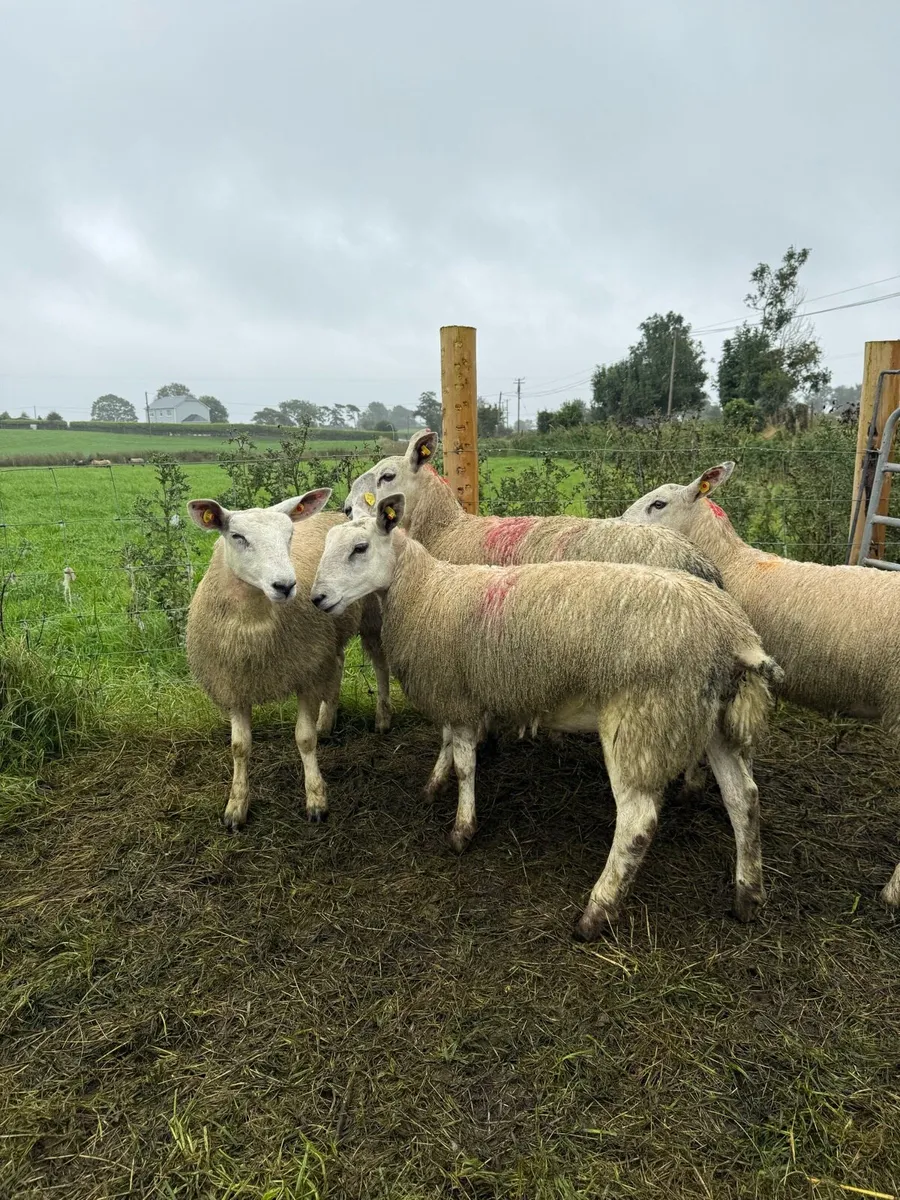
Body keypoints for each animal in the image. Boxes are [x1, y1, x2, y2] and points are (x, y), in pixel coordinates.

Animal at [185, 488, 391, 830]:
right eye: (237, 536)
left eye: (290, 535)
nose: (285, 585)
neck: (255, 627)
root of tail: (335, 515)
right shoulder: (234, 682)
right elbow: (239, 747)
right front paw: (236, 806)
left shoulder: (305, 673)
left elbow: (304, 739)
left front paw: (316, 799)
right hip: (328, 637)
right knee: (336, 665)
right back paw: (327, 721)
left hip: (370, 618)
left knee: (379, 665)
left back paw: (382, 718)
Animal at [311, 493, 783, 939]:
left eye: (359, 548)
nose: (316, 598)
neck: (426, 590)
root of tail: (735, 638)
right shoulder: (459, 692)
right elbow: (448, 745)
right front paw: (433, 785)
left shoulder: (456, 695)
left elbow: (466, 765)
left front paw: (462, 830)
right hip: (714, 721)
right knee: (743, 798)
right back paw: (748, 895)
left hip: (643, 721)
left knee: (637, 822)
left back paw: (596, 912)